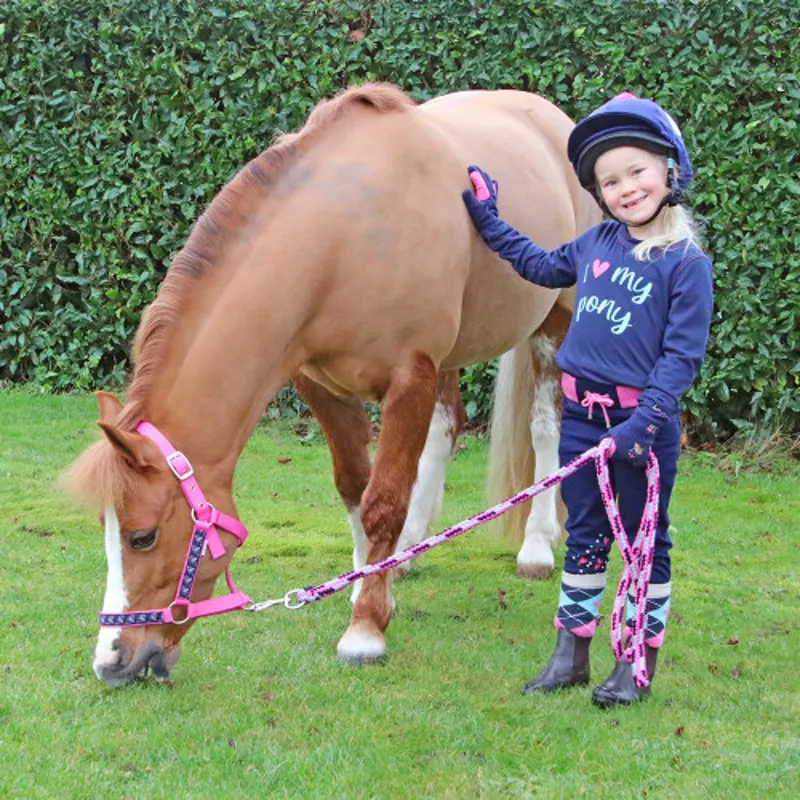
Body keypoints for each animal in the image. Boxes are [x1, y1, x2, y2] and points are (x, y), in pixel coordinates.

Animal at [64, 83, 600, 688]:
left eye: (143, 536)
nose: (111, 661)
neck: (345, 239)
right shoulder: (321, 384)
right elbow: (354, 487)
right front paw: (369, 584)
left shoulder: (408, 378)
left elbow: (383, 501)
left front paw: (365, 630)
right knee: (446, 430)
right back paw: (412, 549)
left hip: (553, 323)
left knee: (545, 430)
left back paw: (536, 547)